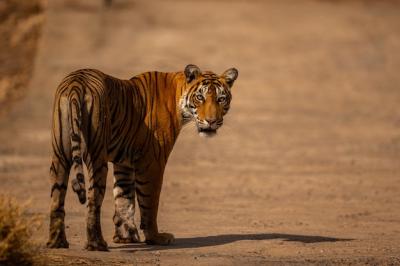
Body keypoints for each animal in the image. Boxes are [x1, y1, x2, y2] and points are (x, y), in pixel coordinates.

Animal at [48, 64, 239, 249]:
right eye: (200, 97)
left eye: (221, 99)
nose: (211, 121)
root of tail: (76, 83)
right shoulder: (152, 162)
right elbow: (149, 202)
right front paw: (155, 237)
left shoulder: (124, 163)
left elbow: (124, 199)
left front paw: (125, 237)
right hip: (97, 158)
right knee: (93, 201)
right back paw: (96, 244)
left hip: (60, 155)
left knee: (57, 199)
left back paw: (57, 243)